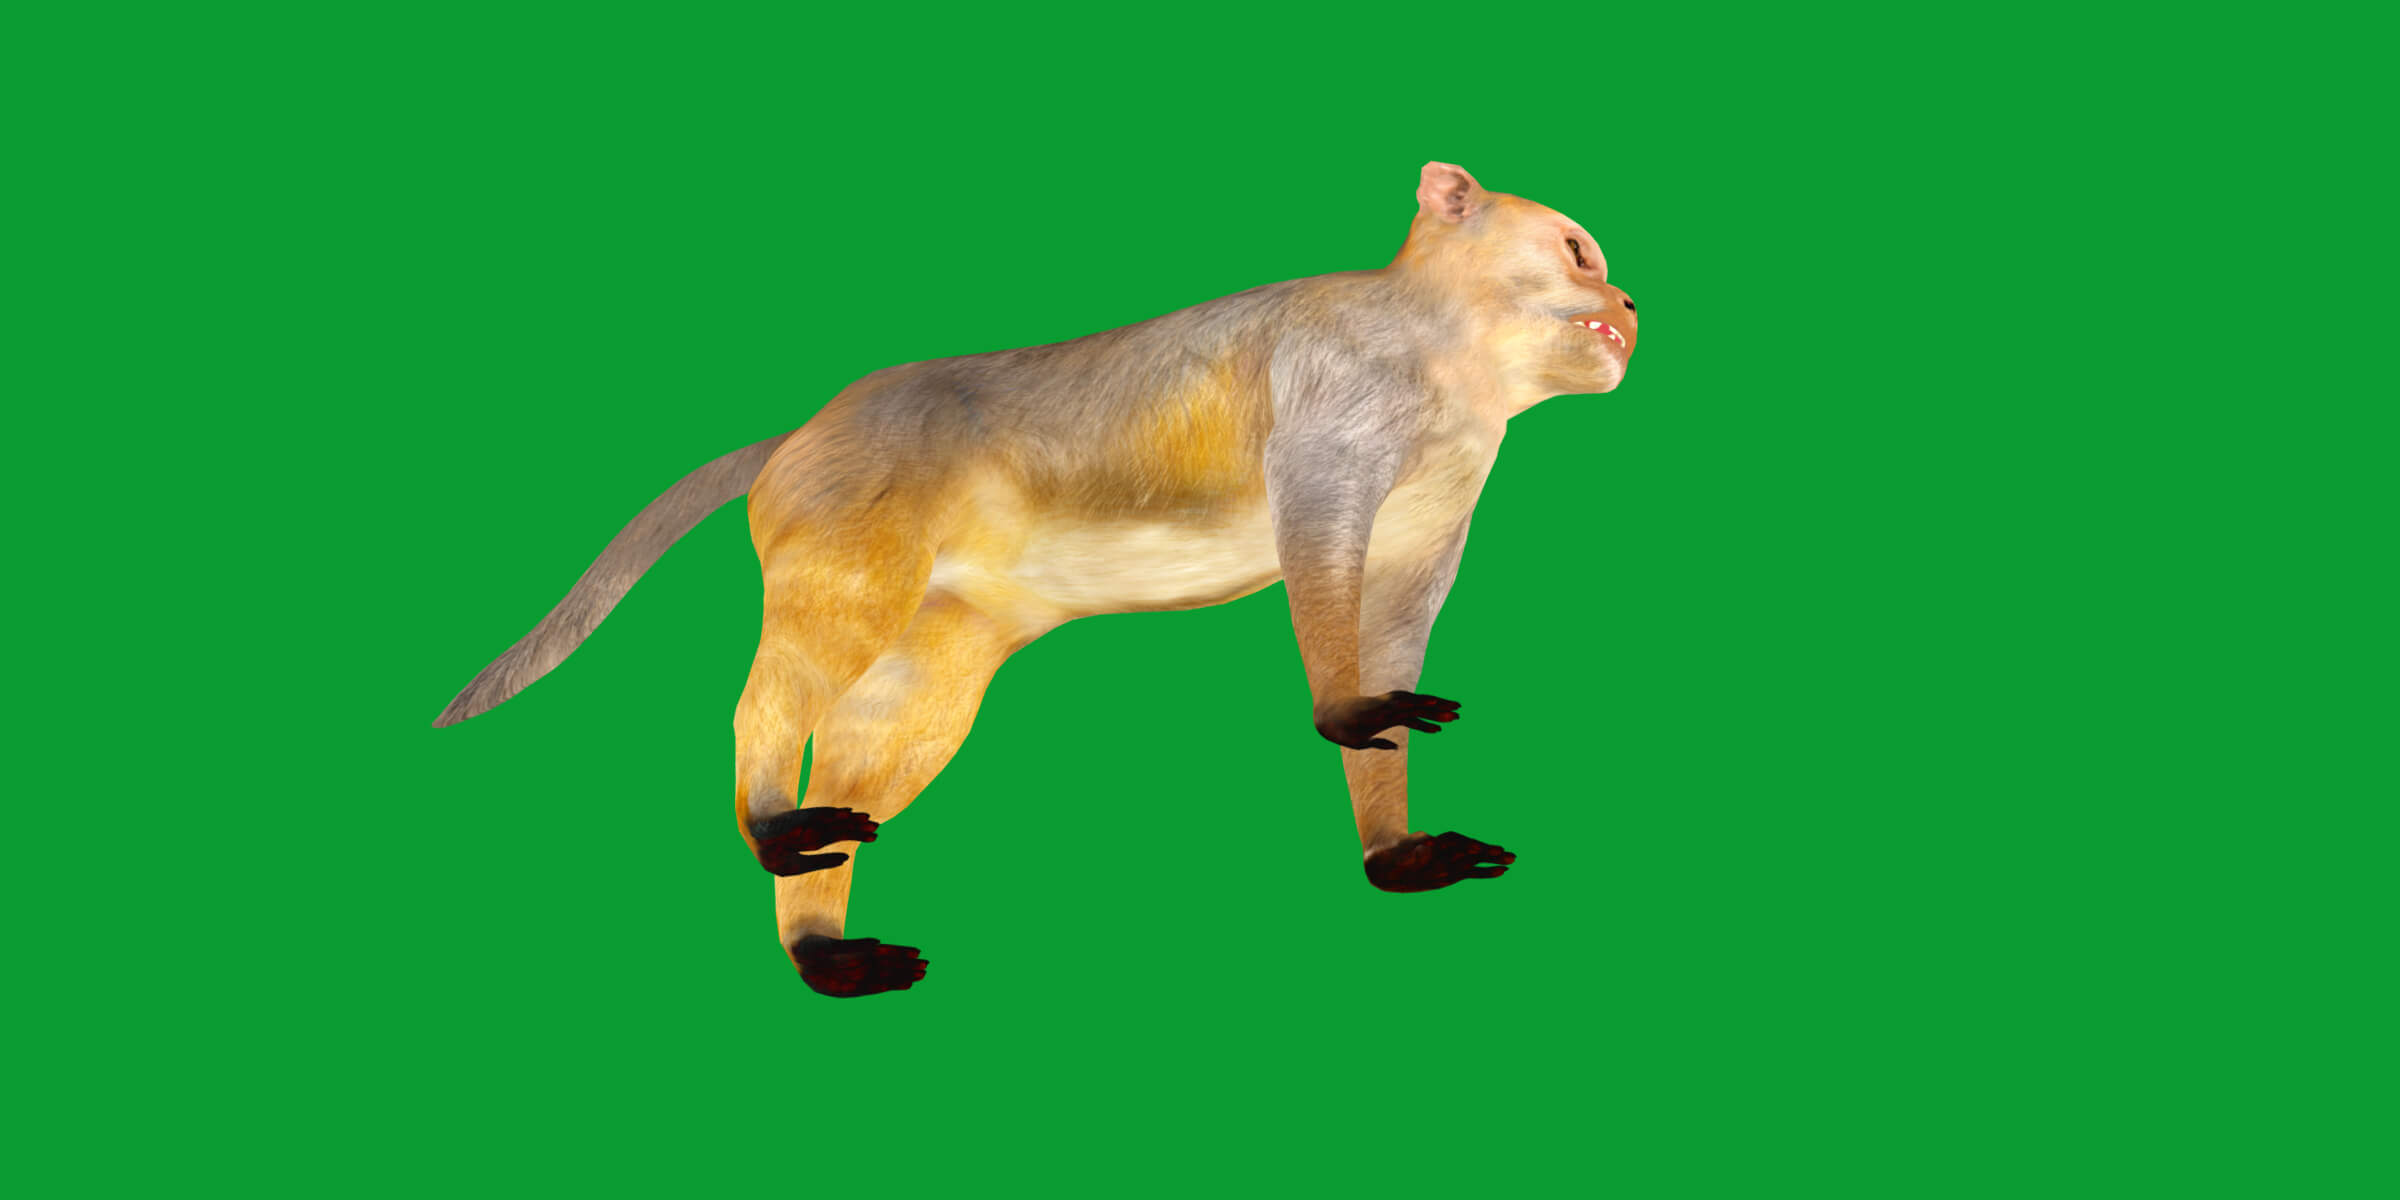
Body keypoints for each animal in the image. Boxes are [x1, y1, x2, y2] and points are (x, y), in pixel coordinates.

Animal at [435, 163, 1639, 997]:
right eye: (1577, 249)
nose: (1629, 304)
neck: (1456, 368)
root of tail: (802, 432)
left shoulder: (1426, 533)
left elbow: (1393, 643)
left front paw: (1398, 850)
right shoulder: (1332, 436)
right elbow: (1325, 586)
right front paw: (1349, 710)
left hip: (950, 635)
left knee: (877, 729)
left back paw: (824, 946)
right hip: (853, 548)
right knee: (774, 694)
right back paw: (774, 821)